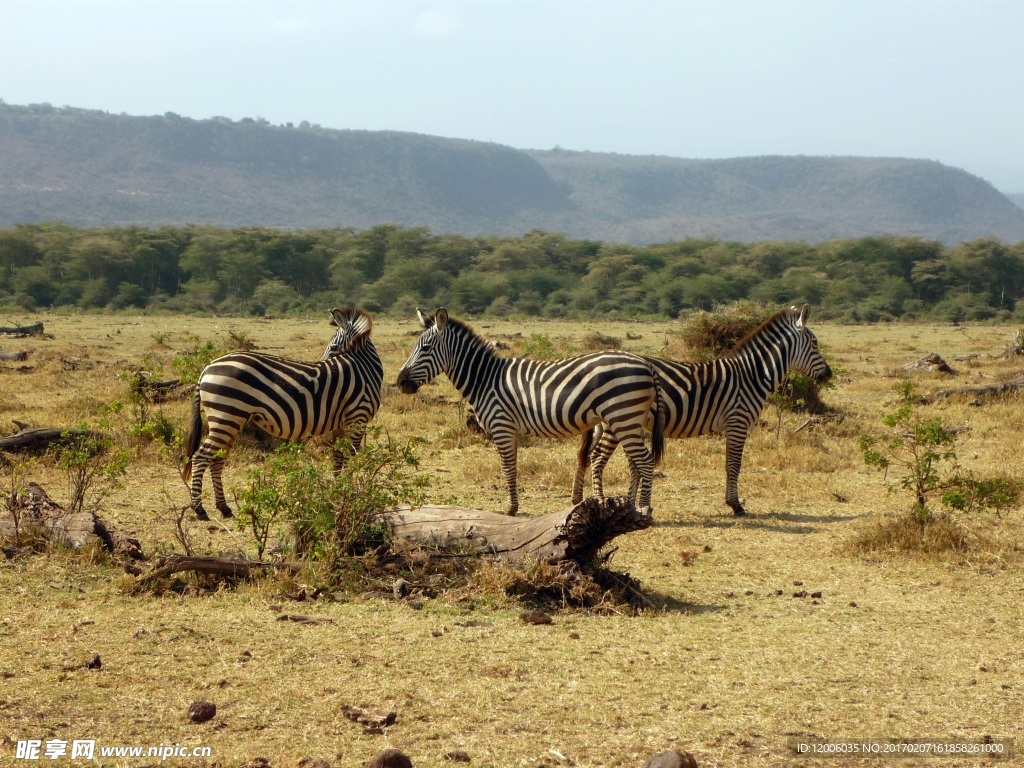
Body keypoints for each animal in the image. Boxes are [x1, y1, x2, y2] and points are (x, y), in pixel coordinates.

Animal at [182, 307, 382, 524]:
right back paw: (200, 510)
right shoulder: (358, 418)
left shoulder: (342, 425)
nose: (322, 361)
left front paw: (339, 494)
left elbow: (338, 459)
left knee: (217, 461)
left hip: (230, 420)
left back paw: (224, 508)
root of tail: (206, 368)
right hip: (226, 417)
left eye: (334, 346)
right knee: (200, 458)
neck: (363, 367)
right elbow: (352, 459)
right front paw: (351, 494)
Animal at [391, 309, 663, 518]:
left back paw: (644, 509)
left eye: (426, 348)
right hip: (629, 420)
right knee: (637, 462)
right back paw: (631, 506)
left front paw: (511, 509)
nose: (400, 382)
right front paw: (513, 506)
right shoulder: (511, 429)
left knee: (646, 461)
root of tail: (646, 363)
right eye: (415, 347)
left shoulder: (501, 425)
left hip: (622, 417)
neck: (485, 379)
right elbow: (512, 467)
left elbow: (508, 469)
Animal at [573, 305, 827, 518]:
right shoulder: (738, 421)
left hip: (615, 422)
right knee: (598, 457)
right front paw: (736, 505)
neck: (751, 376)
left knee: (590, 456)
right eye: (815, 343)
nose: (829, 374)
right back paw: (600, 502)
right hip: (617, 420)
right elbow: (734, 464)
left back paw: (582, 501)